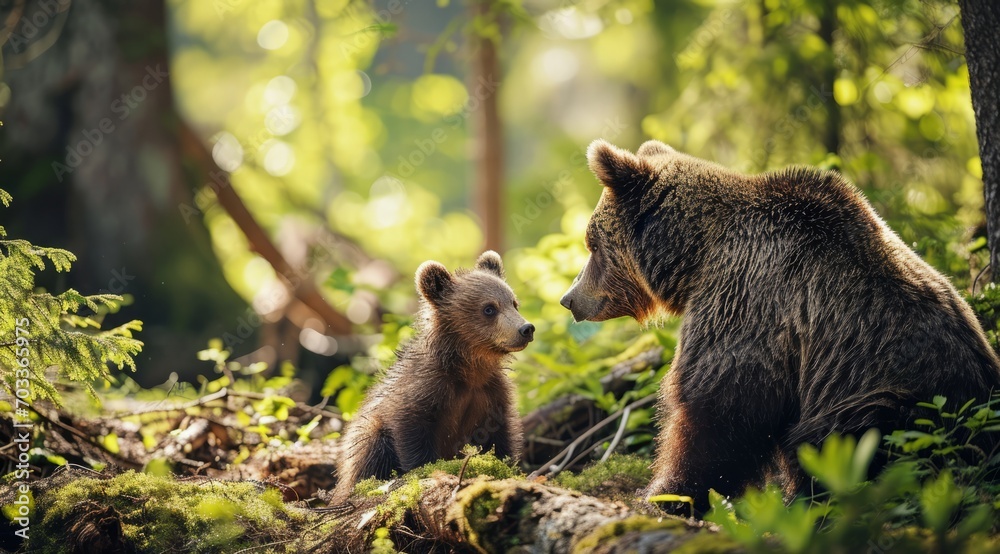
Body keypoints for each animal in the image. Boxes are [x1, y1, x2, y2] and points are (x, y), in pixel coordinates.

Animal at [332, 251, 534, 502]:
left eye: (513, 303)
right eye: (489, 308)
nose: (526, 329)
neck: (469, 370)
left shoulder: (491, 393)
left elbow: (500, 436)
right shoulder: (424, 392)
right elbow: (412, 435)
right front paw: (424, 469)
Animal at [559, 139, 1000, 512]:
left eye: (592, 244)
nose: (569, 299)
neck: (696, 258)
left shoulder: (749, 302)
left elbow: (720, 410)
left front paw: (669, 495)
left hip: (895, 400)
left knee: (846, 437)